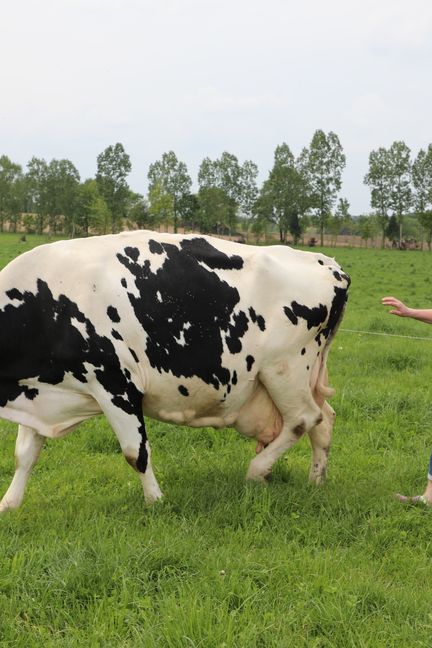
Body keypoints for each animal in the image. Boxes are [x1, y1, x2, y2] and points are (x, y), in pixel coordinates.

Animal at [0, 232, 348, 512]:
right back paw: (315, 481)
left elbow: (135, 452)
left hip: (284, 367)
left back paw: (257, 470)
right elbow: (25, 454)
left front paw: (155, 502)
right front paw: (9, 505)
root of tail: (327, 263)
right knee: (325, 419)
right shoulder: (38, 387)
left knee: (304, 418)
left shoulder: (116, 384)